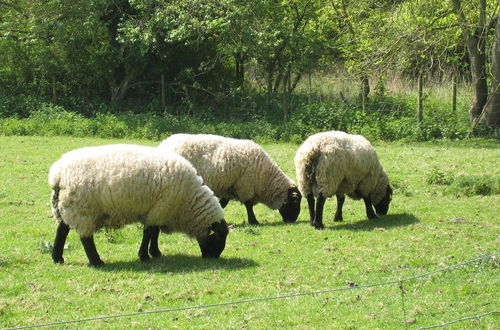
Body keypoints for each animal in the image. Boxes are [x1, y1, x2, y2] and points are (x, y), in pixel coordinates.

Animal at [48, 144, 229, 266]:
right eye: (219, 236)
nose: (214, 257)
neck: (188, 203)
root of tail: (58, 174)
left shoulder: (156, 211)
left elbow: (154, 232)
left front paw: (155, 252)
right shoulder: (160, 208)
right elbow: (149, 232)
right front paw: (145, 255)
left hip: (66, 206)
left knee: (62, 230)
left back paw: (57, 258)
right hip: (83, 209)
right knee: (85, 238)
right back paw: (96, 261)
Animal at [159, 133, 300, 224]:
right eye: (295, 202)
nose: (292, 220)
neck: (264, 177)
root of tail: (164, 144)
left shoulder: (228, 188)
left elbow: (223, 203)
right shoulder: (245, 185)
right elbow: (248, 205)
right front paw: (253, 221)